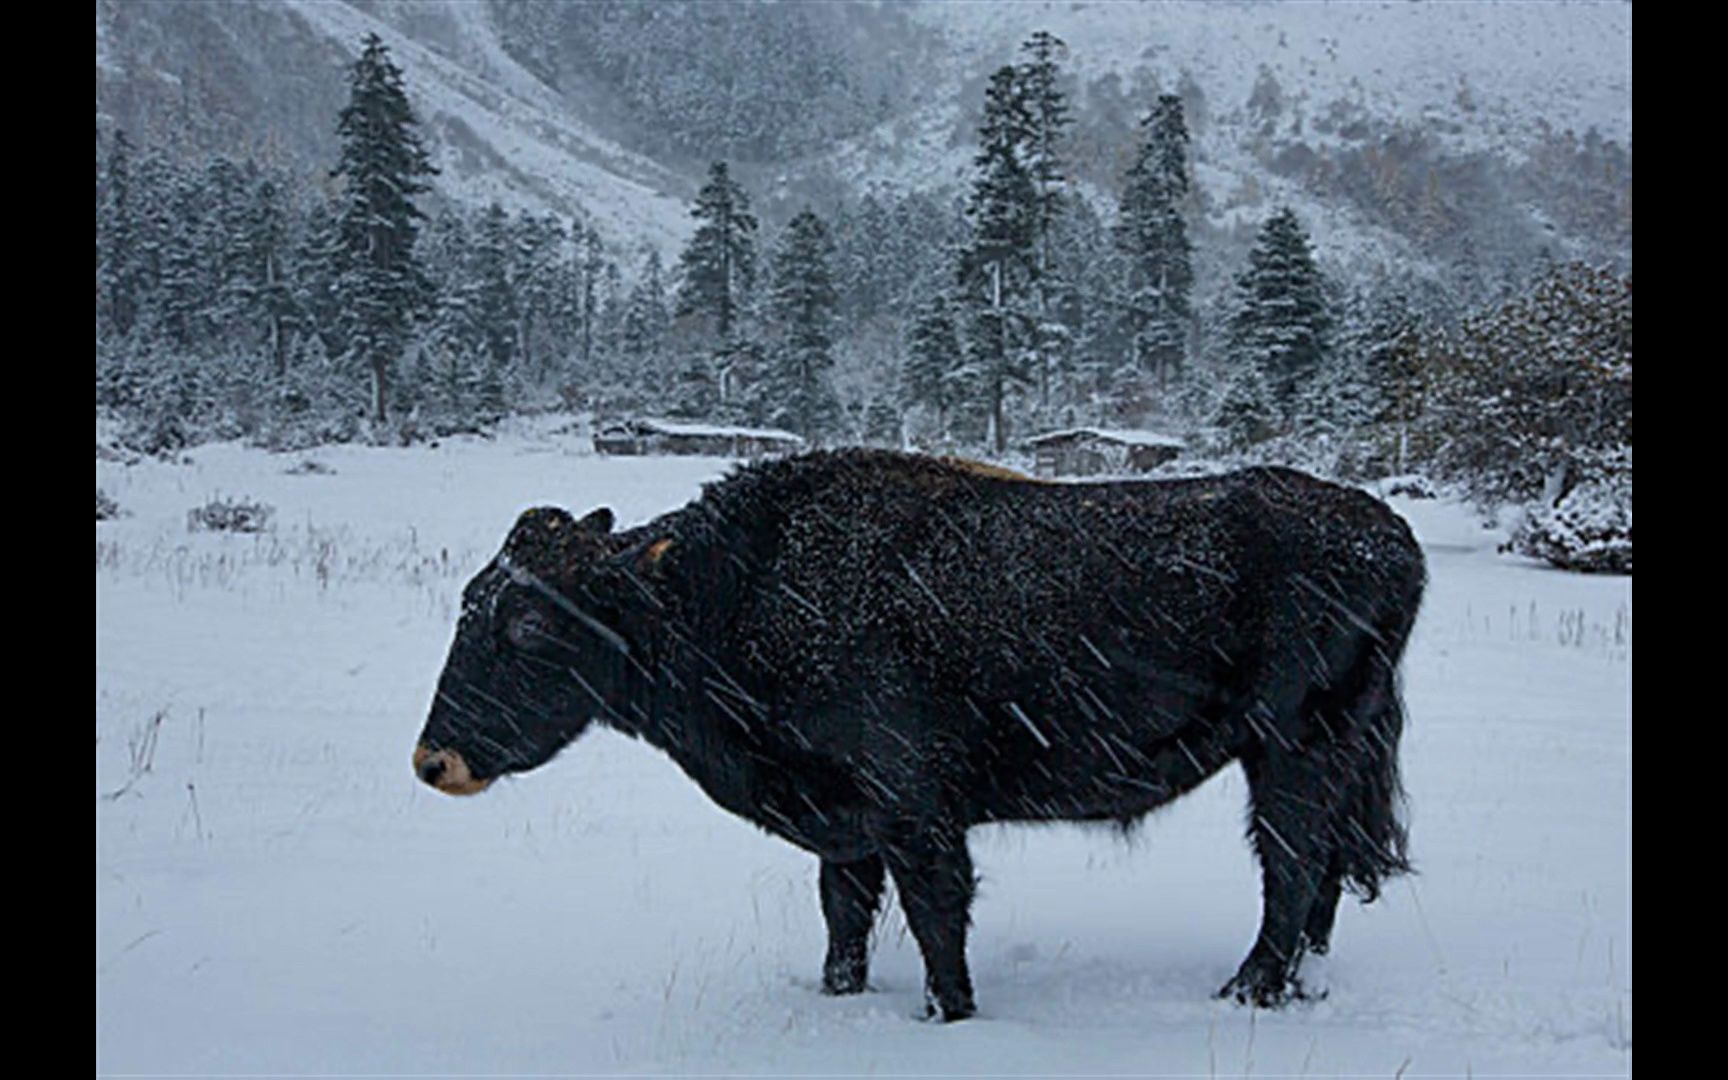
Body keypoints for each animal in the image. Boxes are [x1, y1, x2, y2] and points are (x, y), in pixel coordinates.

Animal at [411, 445, 1423, 1016]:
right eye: (468, 603)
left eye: (529, 623)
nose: (434, 759)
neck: (724, 588)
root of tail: (1389, 532)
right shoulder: (845, 821)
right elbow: (844, 916)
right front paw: (840, 997)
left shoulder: (914, 812)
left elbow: (938, 919)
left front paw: (951, 1014)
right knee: (1323, 868)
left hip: (1292, 747)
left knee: (1292, 864)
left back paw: (1248, 990)